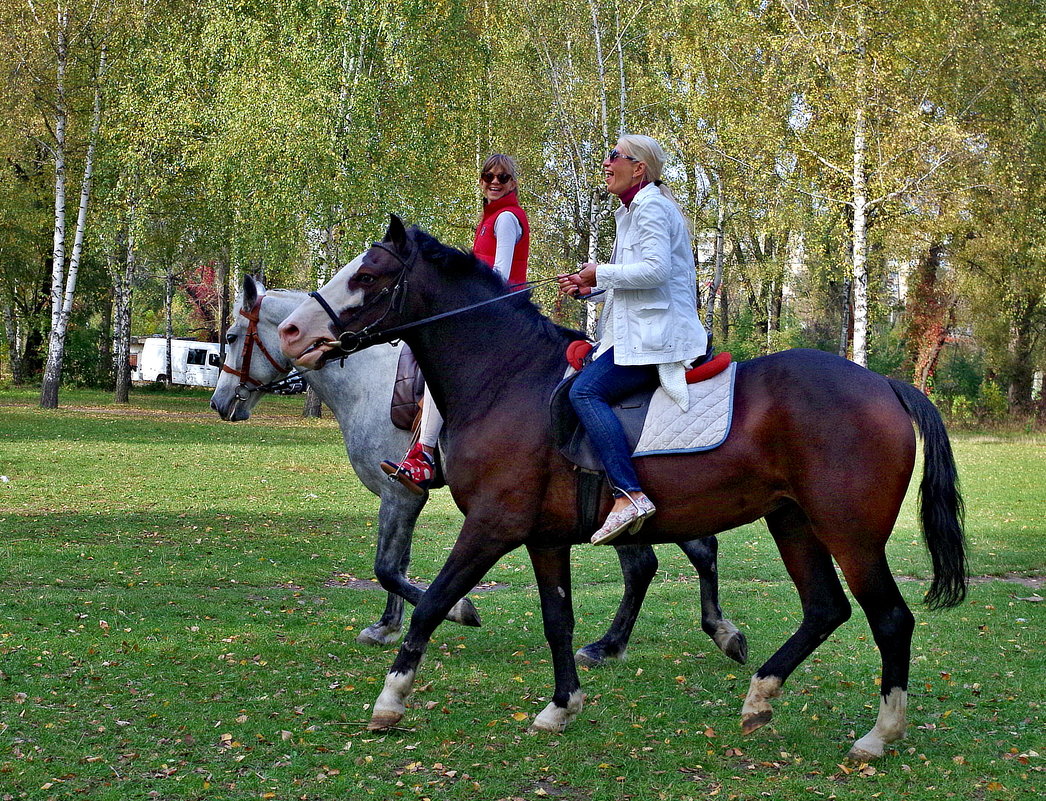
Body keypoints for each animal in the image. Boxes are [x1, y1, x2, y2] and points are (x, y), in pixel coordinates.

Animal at [208, 276, 748, 665]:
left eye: (232, 336)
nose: (219, 403)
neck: (368, 383)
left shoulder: (399, 492)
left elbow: (387, 566)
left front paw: (457, 609)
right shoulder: (401, 495)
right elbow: (397, 561)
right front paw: (388, 625)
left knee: (646, 565)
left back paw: (612, 645)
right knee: (697, 549)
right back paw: (716, 630)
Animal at [276, 217, 962, 761]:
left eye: (367, 276)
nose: (290, 332)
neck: (507, 379)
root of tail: (883, 384)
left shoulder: (492, 525)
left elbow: (433, 601)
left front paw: (390, 700)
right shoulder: (542, 537)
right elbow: (557, 618)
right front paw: (561, 705)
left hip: (851, 534)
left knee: (889, 619)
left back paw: (879, 734)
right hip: (792, 521)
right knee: (824, 609)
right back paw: (760, 696)